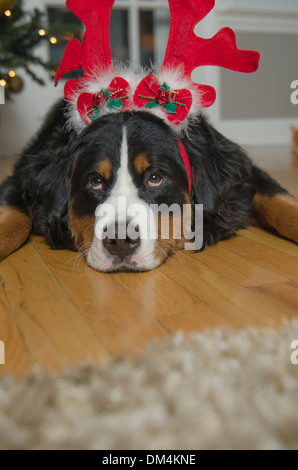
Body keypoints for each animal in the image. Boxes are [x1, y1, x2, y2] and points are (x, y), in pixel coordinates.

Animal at [0, 101, 296, 274]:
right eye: (95, 181)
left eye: (155, 177)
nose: (120, 239)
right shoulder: (21, 178)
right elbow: (15, 220)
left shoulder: (245, 179)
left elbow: (278, 202)